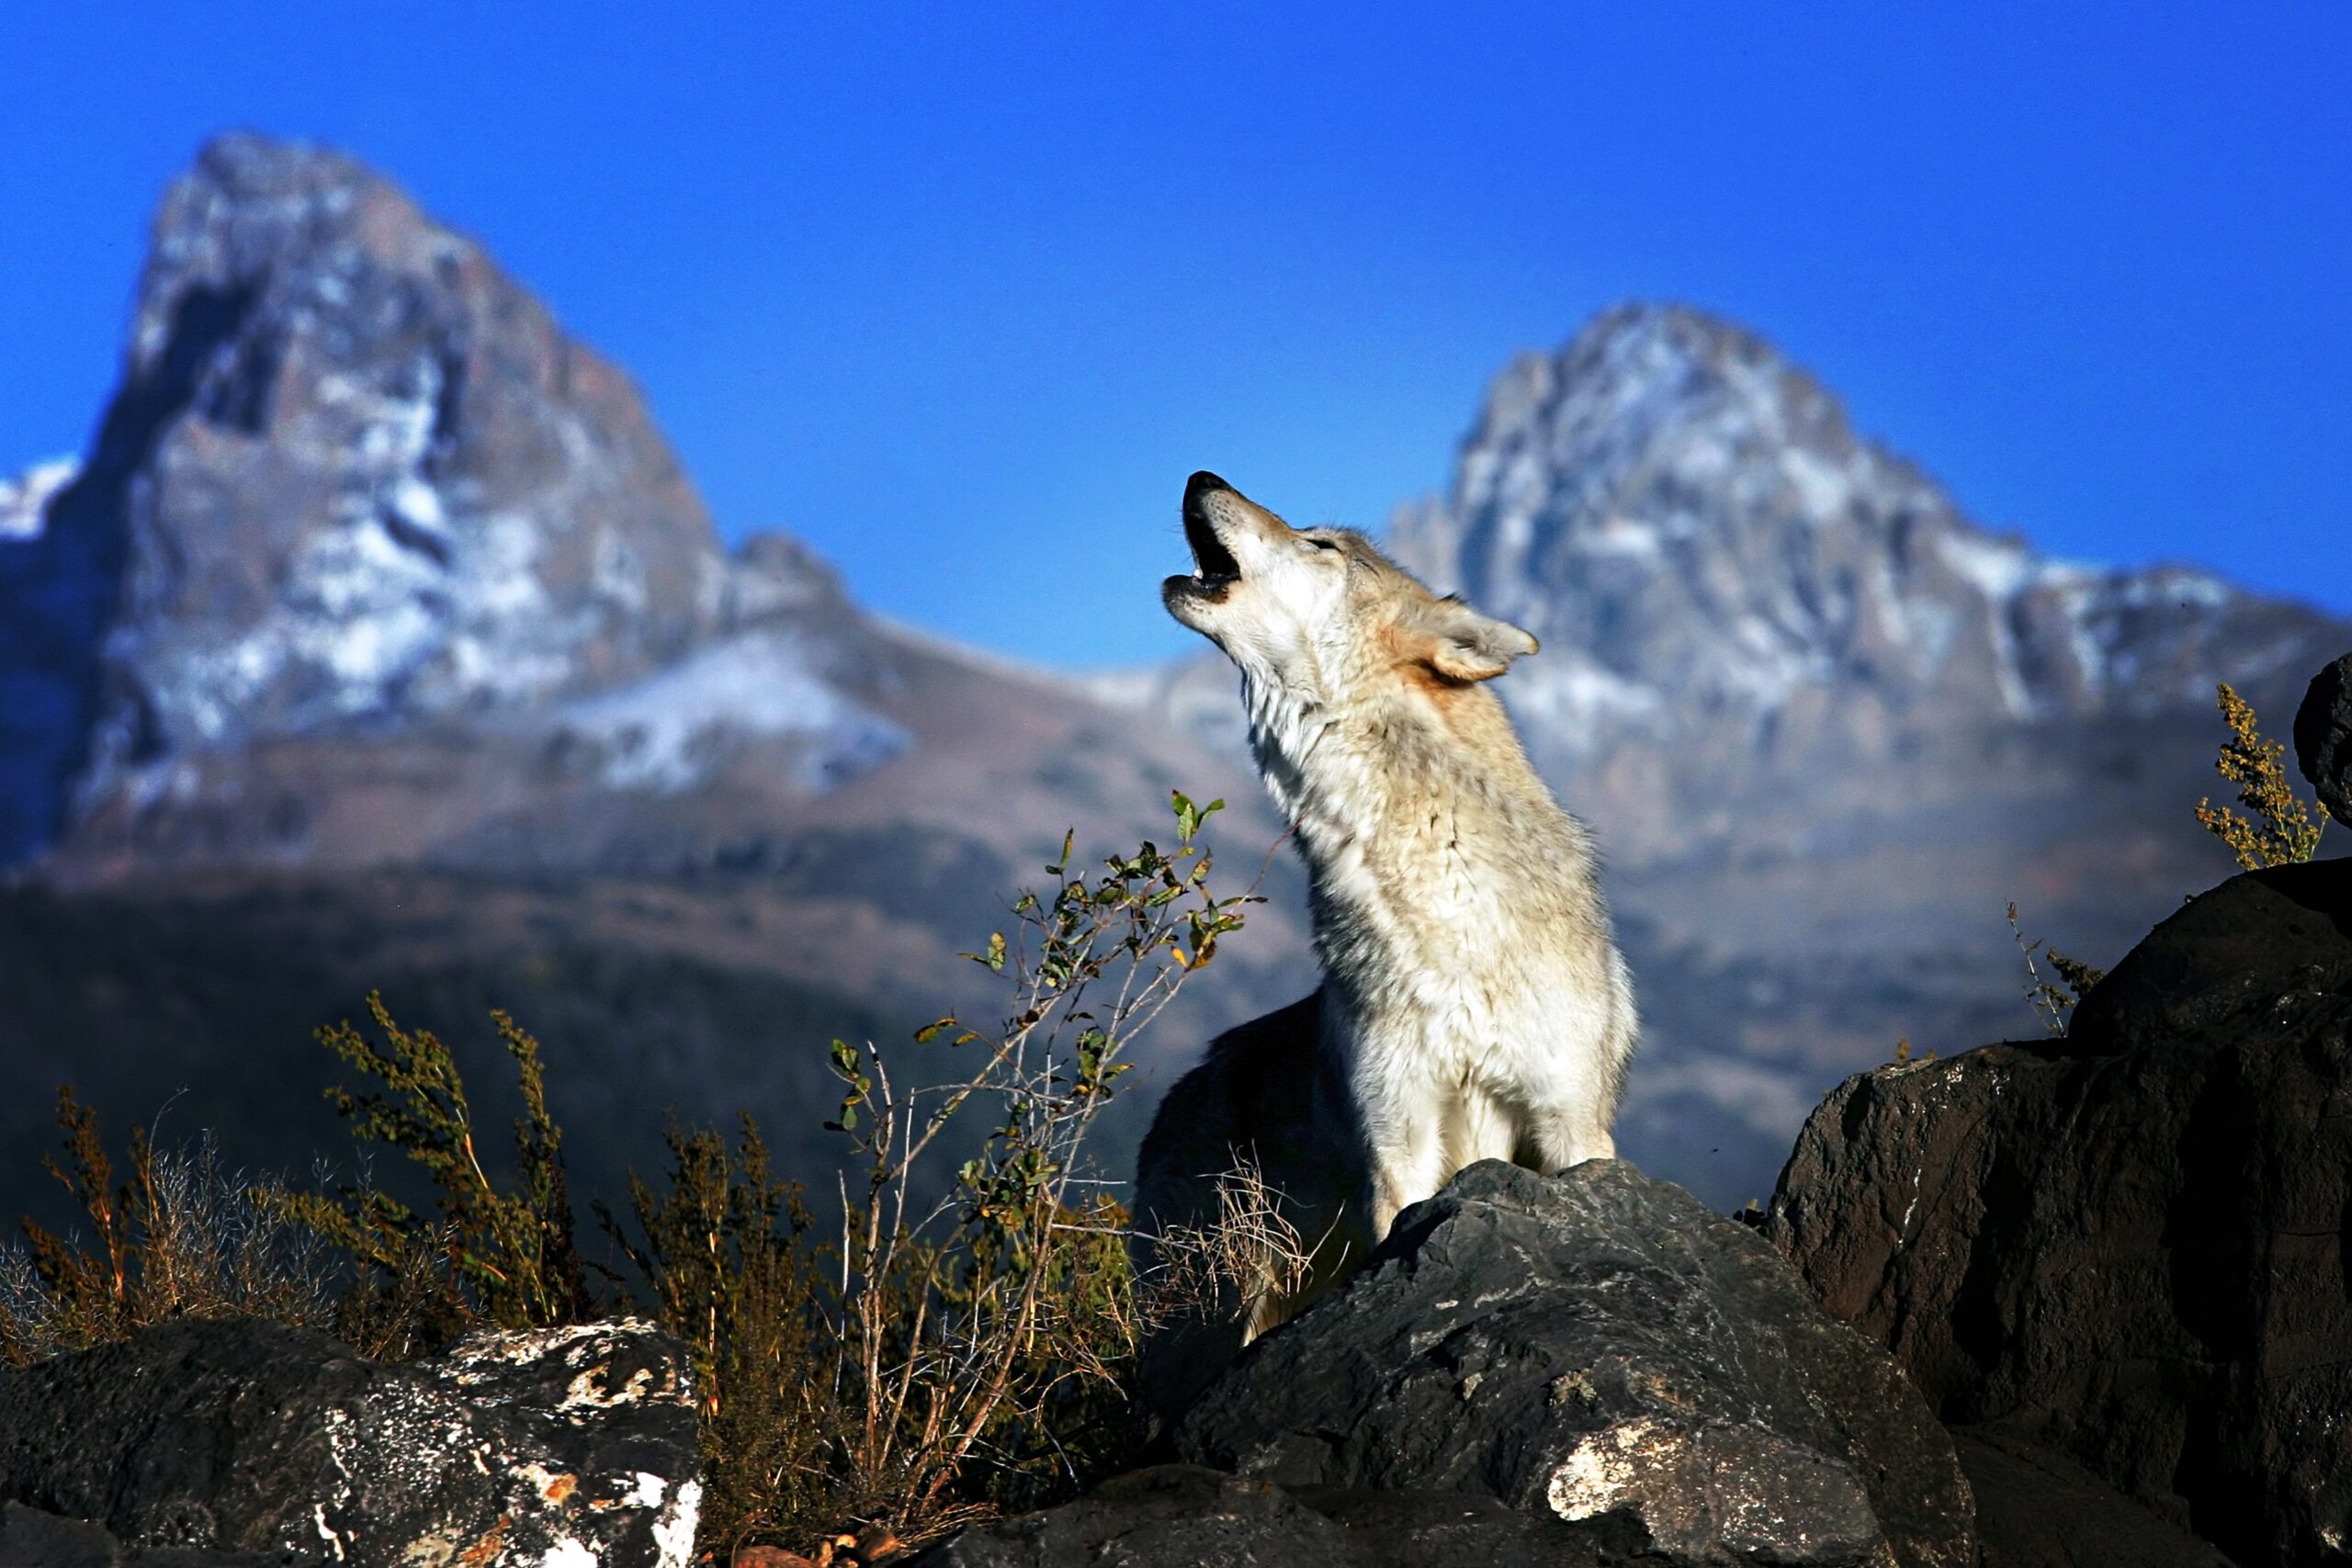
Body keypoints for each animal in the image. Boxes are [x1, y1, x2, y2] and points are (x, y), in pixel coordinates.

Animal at [1133, 470, 1637, 1412]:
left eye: (1321, 545)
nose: (1201, 478)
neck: (1446, 911)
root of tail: (1175, 1097)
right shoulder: (1398, 1144)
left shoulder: (1570, 1126)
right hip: (1209, 1311)